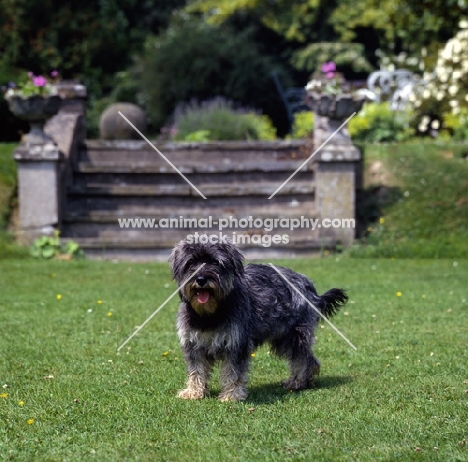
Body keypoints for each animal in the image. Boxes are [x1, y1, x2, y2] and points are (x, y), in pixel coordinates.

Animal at [169, 238, 348, 400]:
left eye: (215, 262)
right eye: (190, 262)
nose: (200, 279)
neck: (210, 314)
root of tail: (309, 285)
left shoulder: (237, 344)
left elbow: (233, 372)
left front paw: (231, 396)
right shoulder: (194, 345)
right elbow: (196, 370)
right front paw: (193, 392)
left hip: (294, 336)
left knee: (304, 359)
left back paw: (298, 382)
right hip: (282, 338)